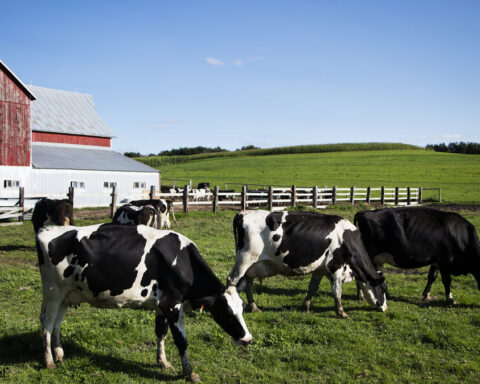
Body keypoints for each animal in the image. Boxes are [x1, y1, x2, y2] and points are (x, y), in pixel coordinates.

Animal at [36, 224, 253, 382]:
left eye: (242, 309)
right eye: (226, 311)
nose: (248, 339)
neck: (184, 262)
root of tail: (46, 230)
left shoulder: (162, 304)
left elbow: (161, 333)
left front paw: (163, 362)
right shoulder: (173, 303)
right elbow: (181, 340)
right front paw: (189, 372)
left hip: (66, 295)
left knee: (56, 324)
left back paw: (59, 353)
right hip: (53, 292)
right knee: (46, 324)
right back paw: (48, 361)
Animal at [227, 210, 388, 318]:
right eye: (382, 289)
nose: (385, 308)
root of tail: (242, 213)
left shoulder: (319, 269)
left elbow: (312, 288)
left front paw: (305, 307)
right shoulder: (335, 267)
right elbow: (337, 291)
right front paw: (341, 313)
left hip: (252, 266)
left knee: (248, 285)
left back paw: (254, 307)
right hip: (244, 259)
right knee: (232, 280)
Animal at [352, 207, 480, 304]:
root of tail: (364, 212)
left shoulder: (436, 261)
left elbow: (432, 277)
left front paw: (426, 295)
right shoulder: (445, 260)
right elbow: (447, 280)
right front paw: (450, 299)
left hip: (376, 259)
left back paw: (385, 294)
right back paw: (361, 296)